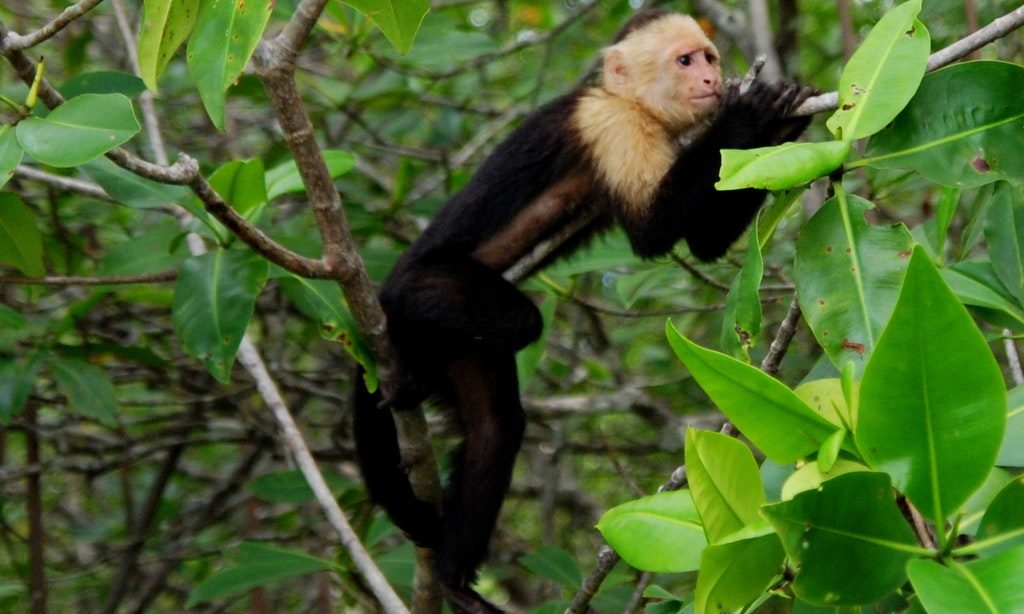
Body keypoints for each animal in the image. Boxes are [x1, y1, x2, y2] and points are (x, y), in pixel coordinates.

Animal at [353, 9, 813, 613]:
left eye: (708, 57)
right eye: (685, 61)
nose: (712, 79)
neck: (635, 104)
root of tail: (381, 293)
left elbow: (703, 241)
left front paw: (786, 131)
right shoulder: (611, 124)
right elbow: (652, 230)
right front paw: (751, 114)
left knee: (495, 426)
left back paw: (453, 574)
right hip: (421, 286)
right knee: (517, 323)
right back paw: (407, 363)